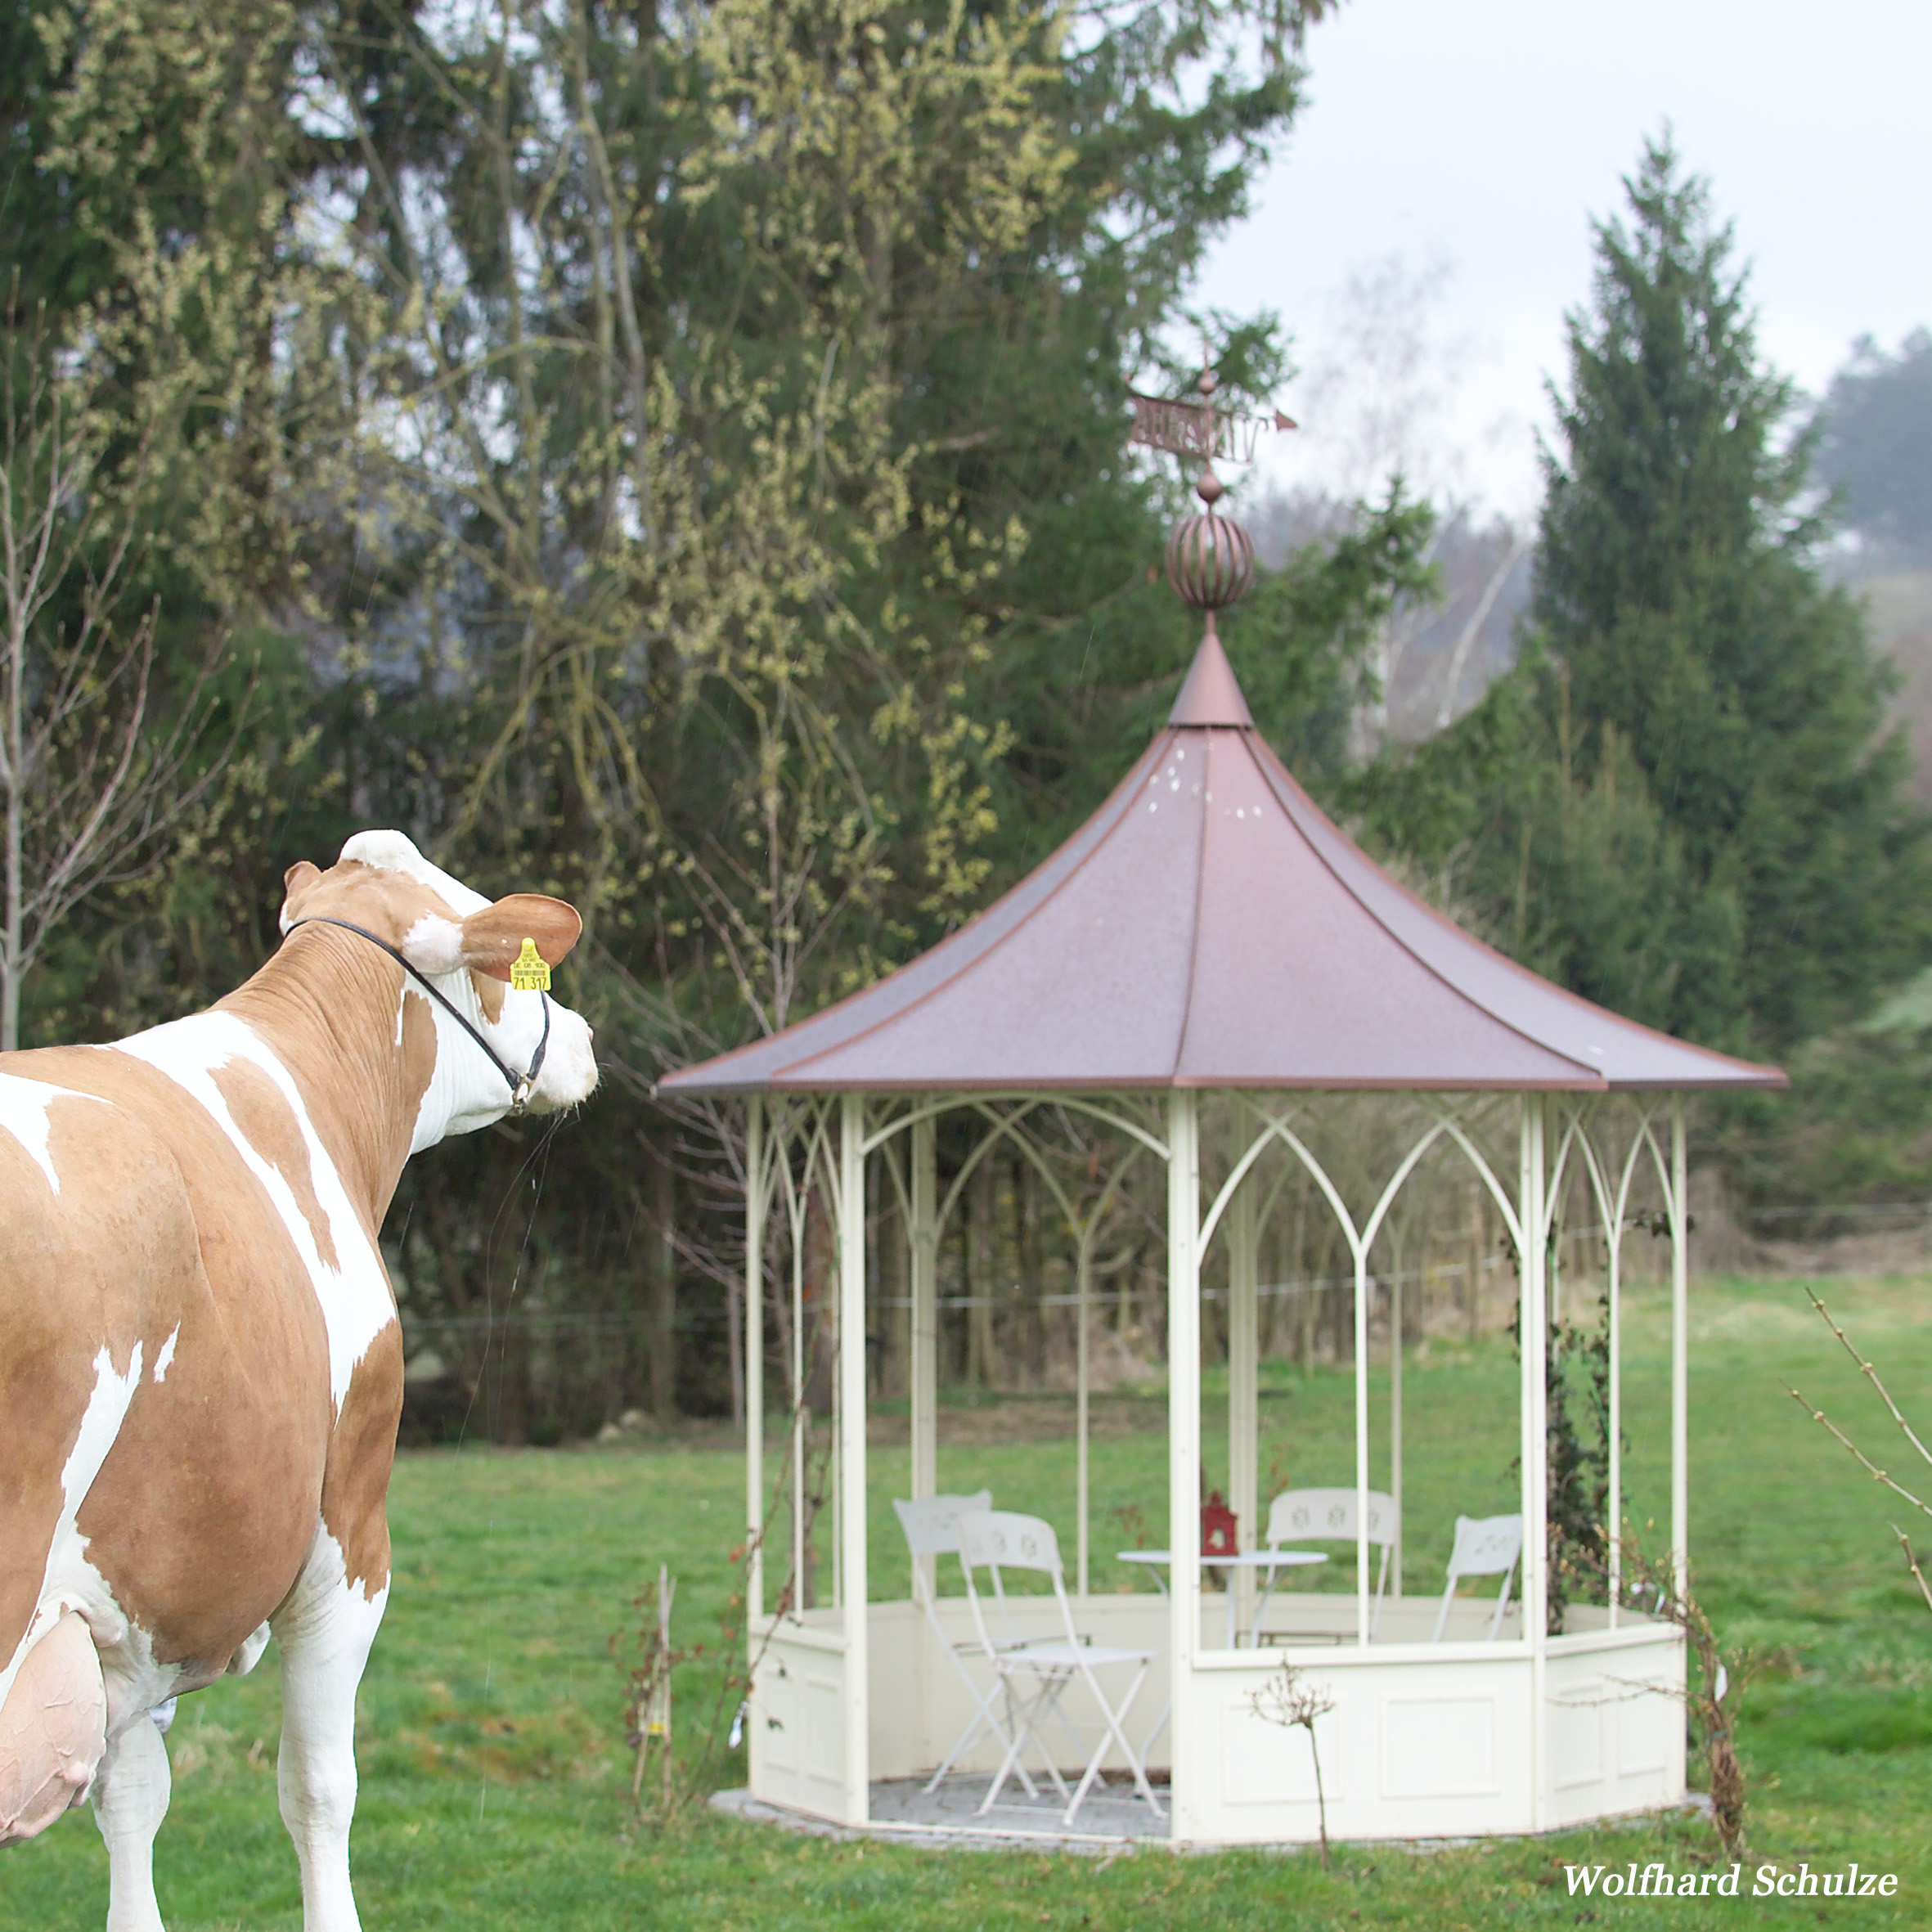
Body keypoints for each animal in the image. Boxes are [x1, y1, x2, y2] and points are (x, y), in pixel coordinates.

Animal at [0, 834, 595, 1932]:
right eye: (510, 964)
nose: (579, 1037)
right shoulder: (347, 1541)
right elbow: (318, 1786)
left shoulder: (130, 1593)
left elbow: (130, 1799)